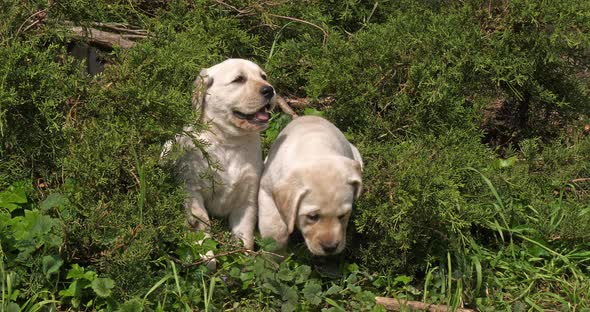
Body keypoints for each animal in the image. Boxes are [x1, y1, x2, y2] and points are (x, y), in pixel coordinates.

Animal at [166, 58, 276, 250]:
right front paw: (206, 255)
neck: (229, 141)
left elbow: (244, 235)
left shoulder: (248, 200)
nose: (269, 89)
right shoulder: (192, 190)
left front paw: (243, 254)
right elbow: (201, 229)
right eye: (239, 79)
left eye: (263, 77)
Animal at [260, 115, 364, 256]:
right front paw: (275, 256)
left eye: (343, 215)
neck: (315, 151)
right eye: (313, 217)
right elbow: (275, 231)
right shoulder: (266, 191)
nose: (330, 248)